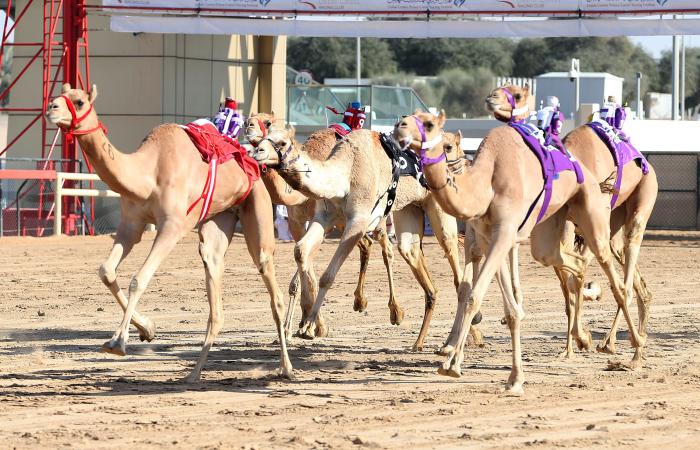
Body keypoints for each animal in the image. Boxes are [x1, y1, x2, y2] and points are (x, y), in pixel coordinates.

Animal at [45, 83, 292, 380]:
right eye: (58, 97)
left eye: (80, 101)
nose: (51, 109)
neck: (147, 172)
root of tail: (254, 163)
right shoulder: (131, 223)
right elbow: (106, 271)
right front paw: (147, 329)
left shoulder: (173, 226)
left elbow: (138, 279)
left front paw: (117, 342)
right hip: (219, 218)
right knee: (213, 278)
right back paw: (193, 374)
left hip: (258, 208)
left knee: (273, 289)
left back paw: (286, 368)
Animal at [249, 122, 484, 352]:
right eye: (264, 136)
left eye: (282, 142)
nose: (258, 151)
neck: (345, 172)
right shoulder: (325, 217)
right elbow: (301, 251)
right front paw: (306, 323)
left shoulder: (358, 221)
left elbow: (328, 276)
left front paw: (310, 325)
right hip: (409, 209)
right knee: (412, 253)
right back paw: (424, 339)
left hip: (440, 208)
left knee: (452, 258)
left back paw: (466, 333)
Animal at [392, 95, 644, 394]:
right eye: (406, 117)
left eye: (429, 124)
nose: (399, 127)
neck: (486, 183)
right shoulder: (492, 238)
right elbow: (504, 306)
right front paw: (513, 377)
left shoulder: (503, 235)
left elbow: (475, 295)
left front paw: (452, 364)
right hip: (548, 233)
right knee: (574, 262)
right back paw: (584, 336)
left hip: (593, 218)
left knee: (616, 280)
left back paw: (634, 348)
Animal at [486, 86, 656, 364]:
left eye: (518, 94)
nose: (491, 98)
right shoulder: (564, 229)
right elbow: (568, 284)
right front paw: (573, 344)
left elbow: (577, 279)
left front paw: (582, 337)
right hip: (610, 227)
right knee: (635, 281)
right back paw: (631, 346)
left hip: (640, 199)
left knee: (627, 271)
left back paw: (616, 345)